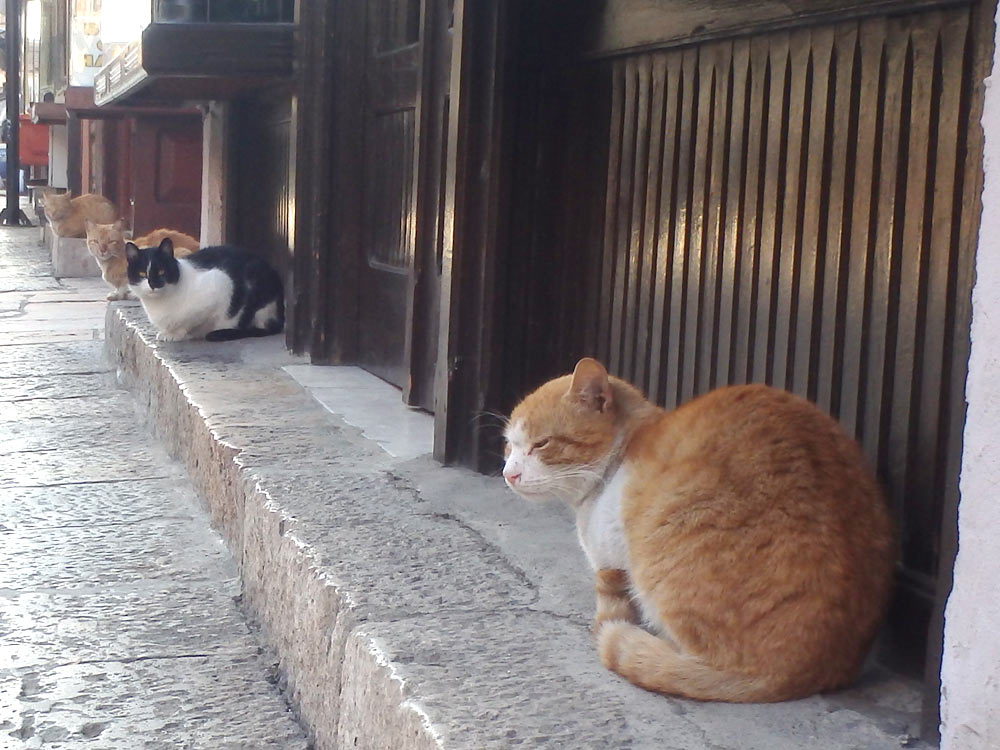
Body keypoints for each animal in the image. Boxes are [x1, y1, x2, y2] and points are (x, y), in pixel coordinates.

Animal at [125, 238, 284, 344]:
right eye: (142, 274)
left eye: (161, 272)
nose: (153, 284)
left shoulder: (221, 284)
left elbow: (192, 321)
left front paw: (177, 334)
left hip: (260, 295)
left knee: (263, 328)